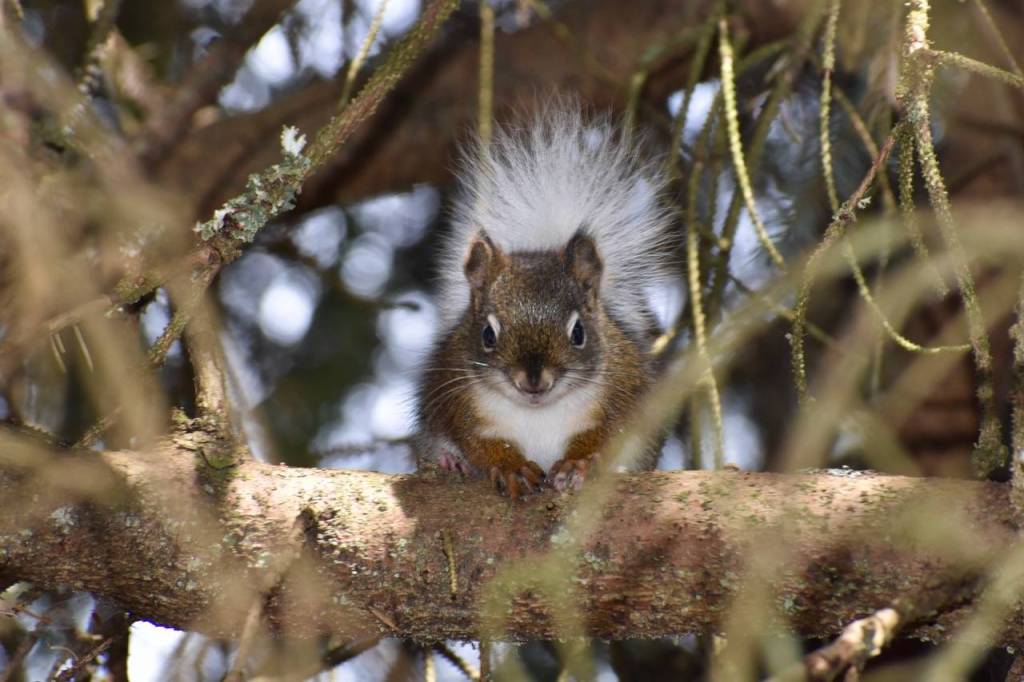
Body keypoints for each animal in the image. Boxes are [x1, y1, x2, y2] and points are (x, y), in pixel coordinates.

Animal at [414, 104, 674, 497]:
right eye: (488, 335)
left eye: (578, 333)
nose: (533, 380)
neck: (538, 411)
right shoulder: (457, 397)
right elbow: (479, 442)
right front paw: (511, 466)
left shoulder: (622, 390)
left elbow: (606, 435)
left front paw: (577, 464)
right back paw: (450, 463)